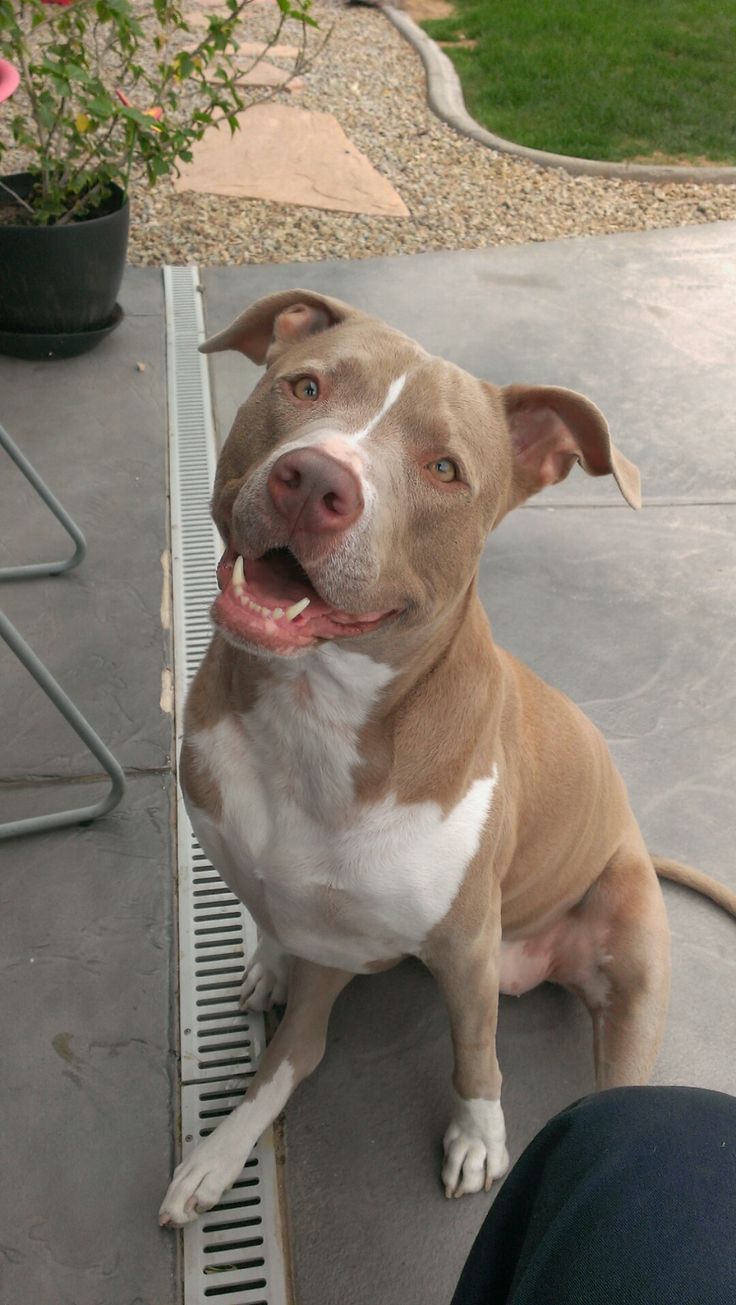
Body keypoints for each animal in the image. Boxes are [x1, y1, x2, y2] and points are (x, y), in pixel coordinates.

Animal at [157, 291, 730, 1226]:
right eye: (305, 387)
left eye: (445, 469)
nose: (314, 482)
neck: (312, 716)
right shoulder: (312, 922)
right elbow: (285, 1054)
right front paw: (219, 1151)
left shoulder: (461, 944)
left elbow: (474, 1050)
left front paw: (480, 1136)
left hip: (632, 951)